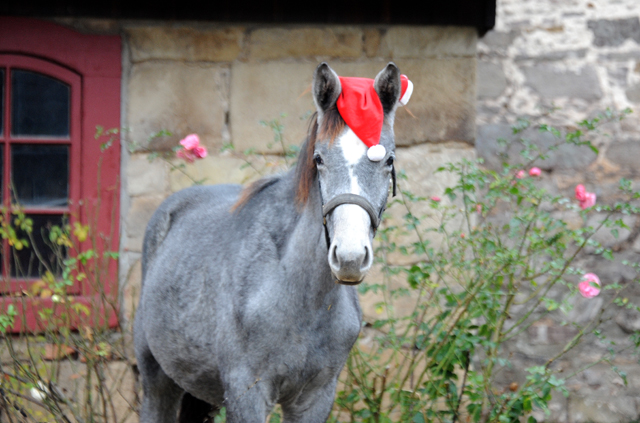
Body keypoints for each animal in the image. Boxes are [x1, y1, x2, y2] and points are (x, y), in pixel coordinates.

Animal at [134, 63, 402, 423]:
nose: (349, 257)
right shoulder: (247, 392)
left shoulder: (315, 398)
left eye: (389, 160)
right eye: (319, 159)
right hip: (157, 380)